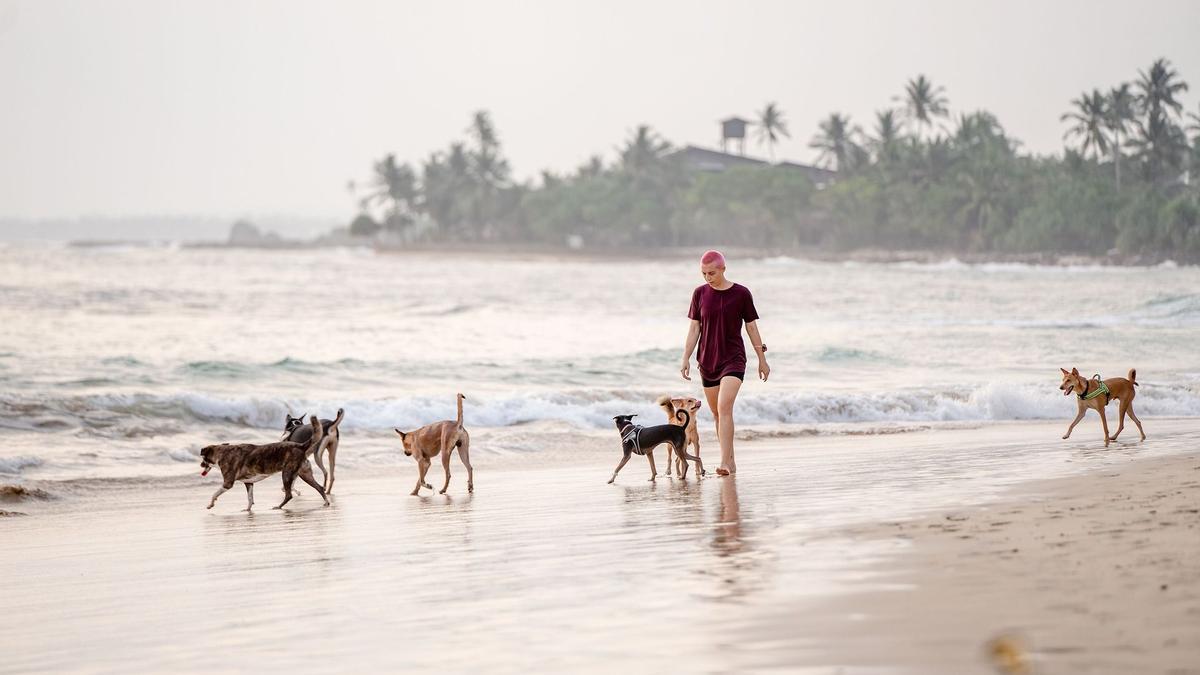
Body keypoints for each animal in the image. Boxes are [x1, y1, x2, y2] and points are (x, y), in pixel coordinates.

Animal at [199, 410, 336, 509]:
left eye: (203, 459)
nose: (200, 465)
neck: (223, 452)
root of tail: (301, 446)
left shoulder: (227, 483)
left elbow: (215, 493)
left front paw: (210, 504)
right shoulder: (249, 483)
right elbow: (250, 498)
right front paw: (248, 510)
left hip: (287, 474)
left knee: (289, 495)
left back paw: (279, 506)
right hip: (305, 473)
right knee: (319, 487)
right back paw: (326, 502)